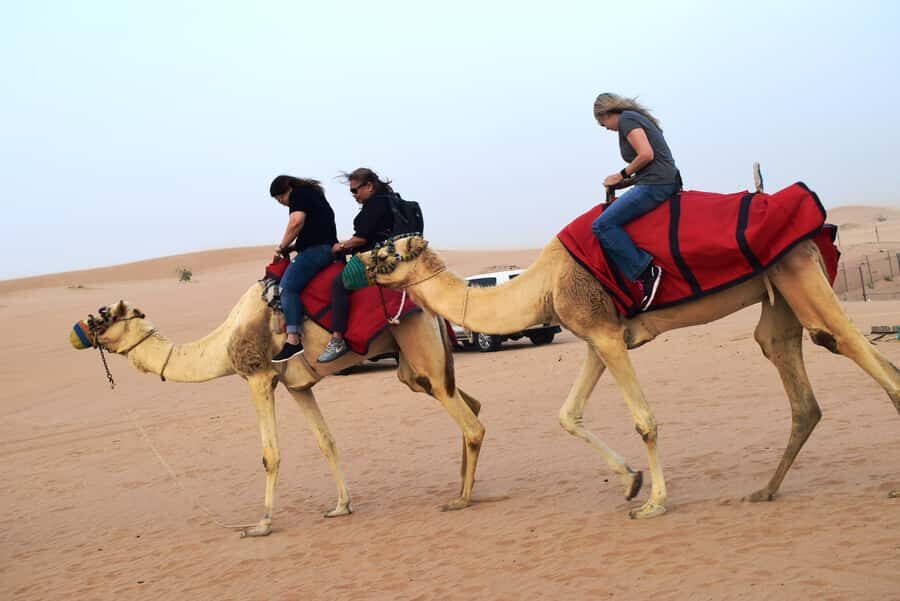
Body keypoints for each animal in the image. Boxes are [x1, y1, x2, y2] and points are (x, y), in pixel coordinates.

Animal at [72, 282, 485, 537]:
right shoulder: (298, 386)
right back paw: (466, 486)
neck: (223, 344)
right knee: (470, 403)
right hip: (411, 366)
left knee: (469, 421)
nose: (75, 332)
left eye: (101, 316)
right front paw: (341, 506)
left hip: (417, 344)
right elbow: (326, 441)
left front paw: (261, 524)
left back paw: (462, 499)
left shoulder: (258, 377)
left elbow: (270, 454)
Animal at [359, 234, 900, 519]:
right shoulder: (599, 338)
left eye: (388, 253)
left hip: (799, 273)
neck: (542, 286)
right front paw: (630, 481)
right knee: (798, 380)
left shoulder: (606, 334)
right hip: (780, 297)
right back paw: (765, 490)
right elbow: (567, 415)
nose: (355, 262)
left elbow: (644, 418)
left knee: (854, 347)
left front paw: (654, 503)